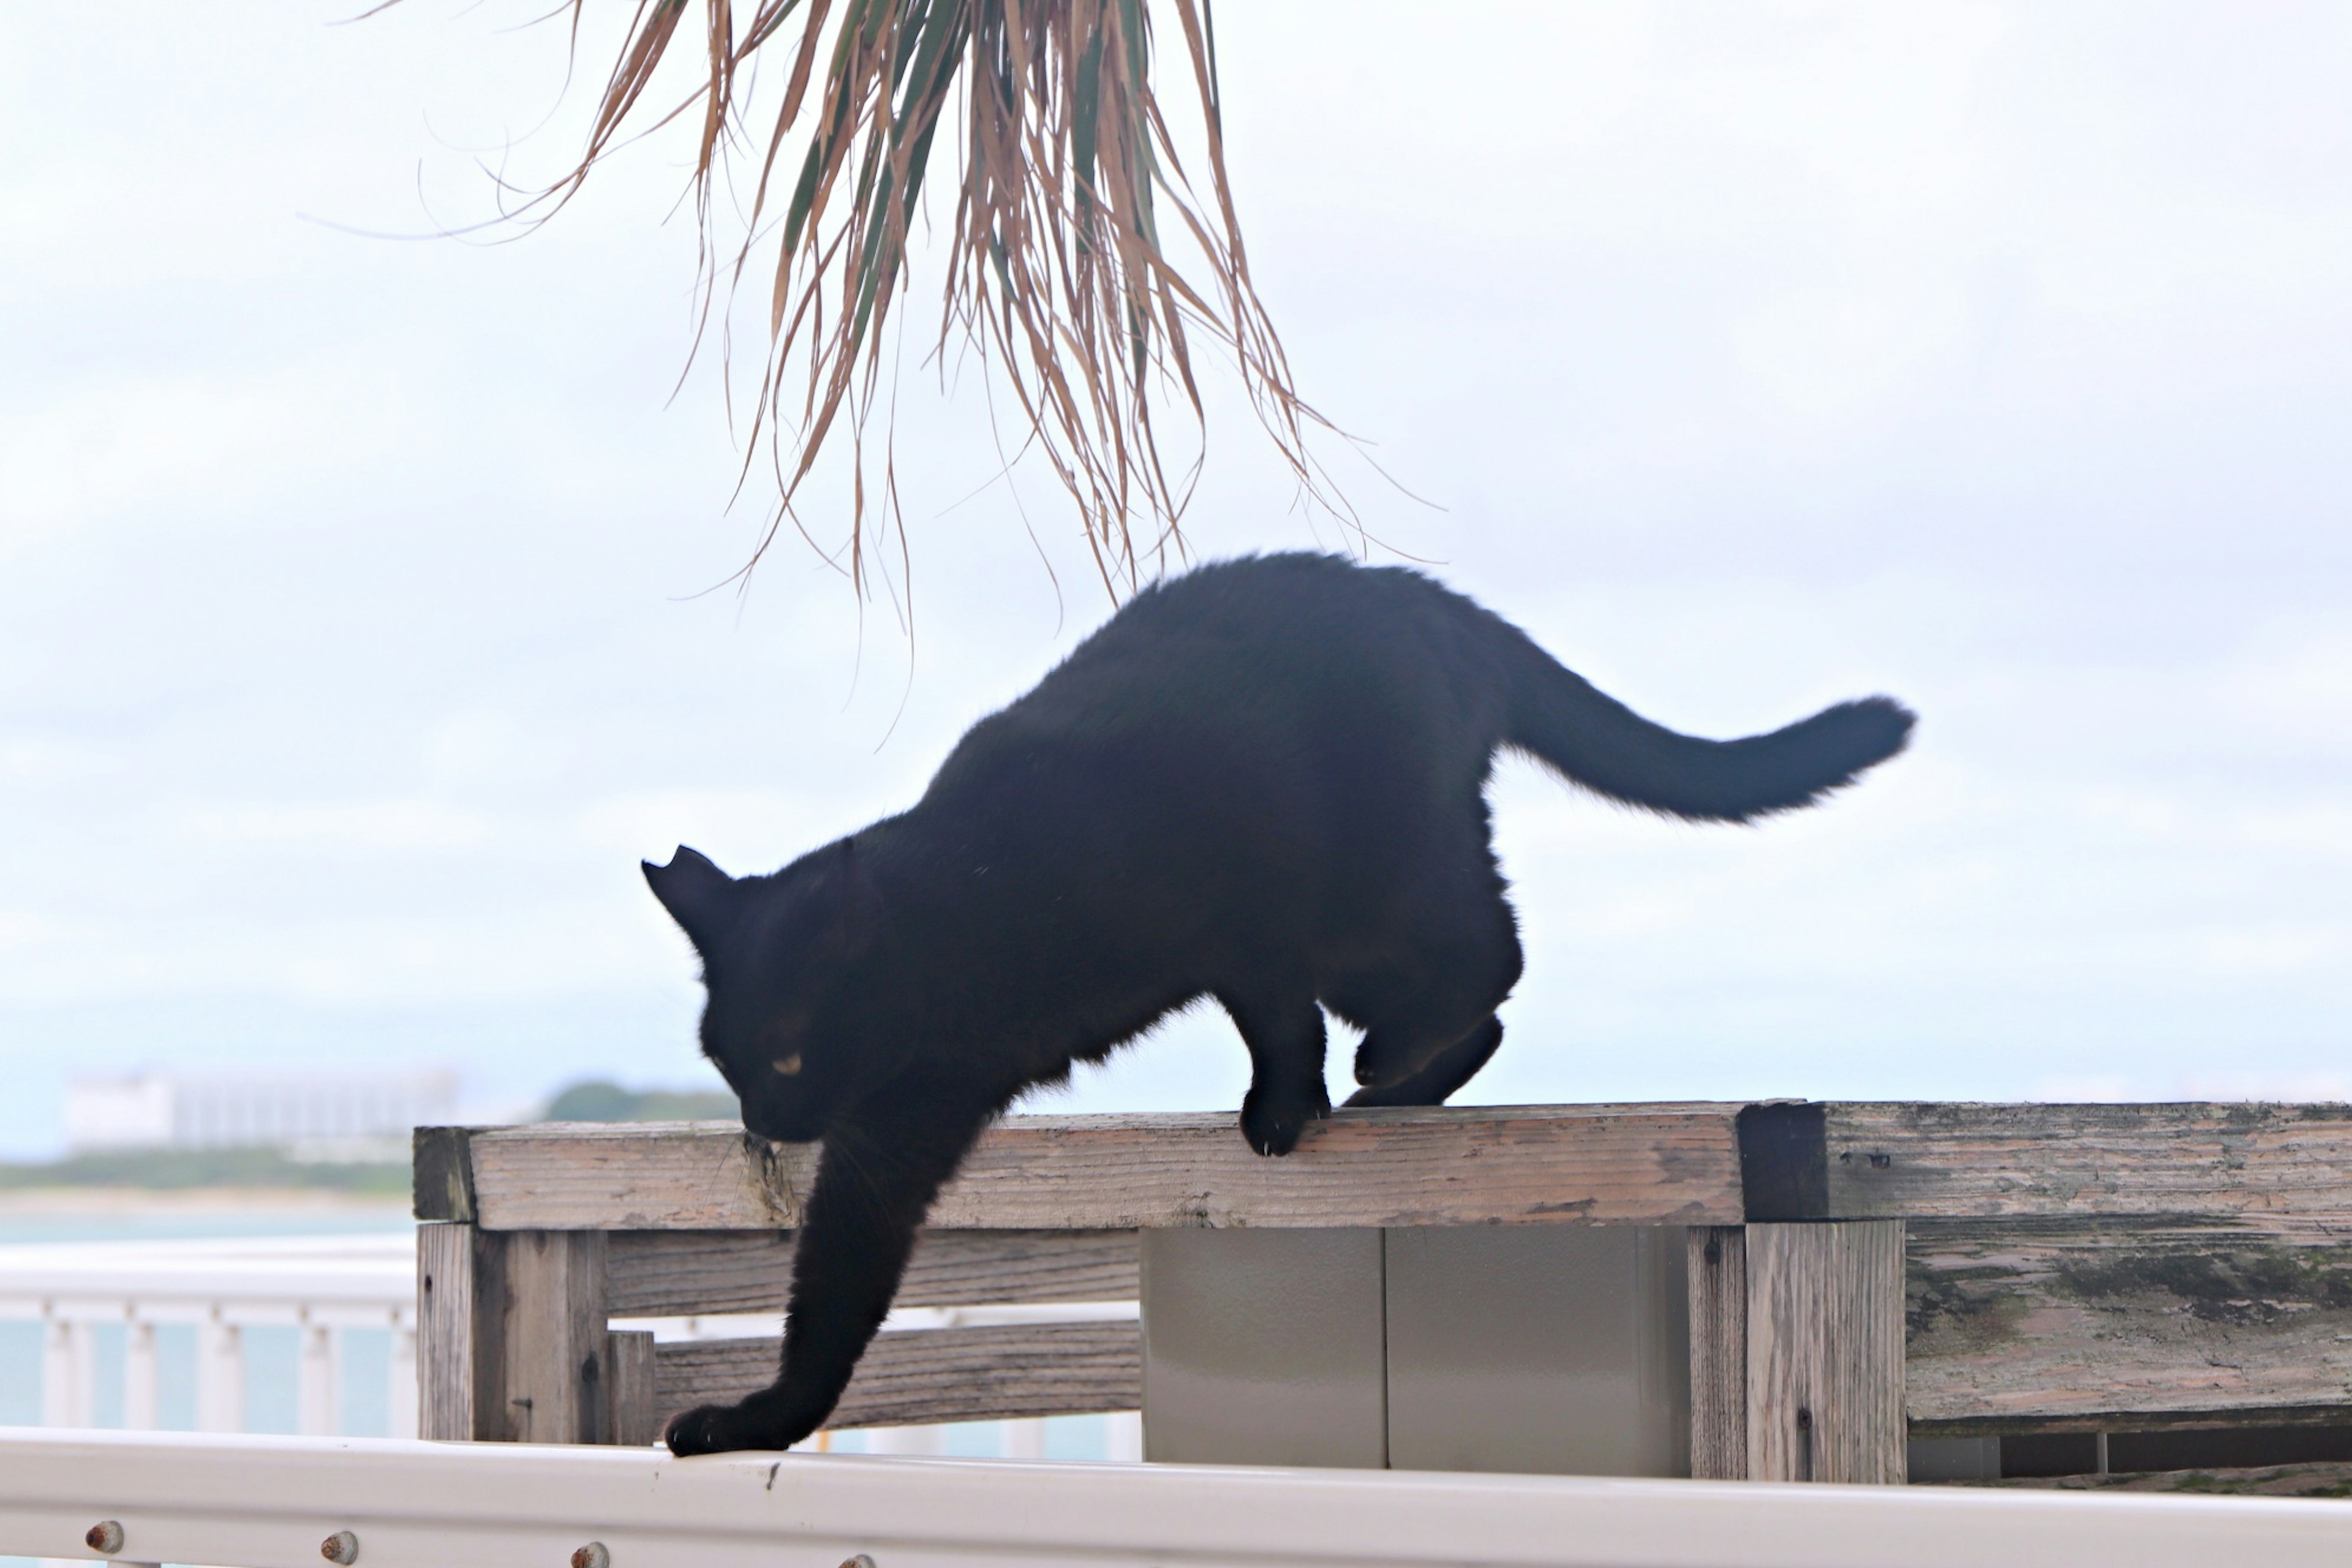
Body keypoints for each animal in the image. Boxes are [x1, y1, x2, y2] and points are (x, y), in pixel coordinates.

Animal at [644, 554, 1910, 1457]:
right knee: (1485, 993)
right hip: (1369, 911)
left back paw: (1390, 1067)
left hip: (1379, 880)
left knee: (1492, 956)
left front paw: (1282, 1113)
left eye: (788, 1058)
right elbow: (835, 1287)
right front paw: (762, 1417)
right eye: (726, 1066)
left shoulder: (1237, 910)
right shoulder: (900, 1126)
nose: (763, 1122)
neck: (969, 904)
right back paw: (1403, 1088)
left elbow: (1273, 1021)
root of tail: (1423, 598)